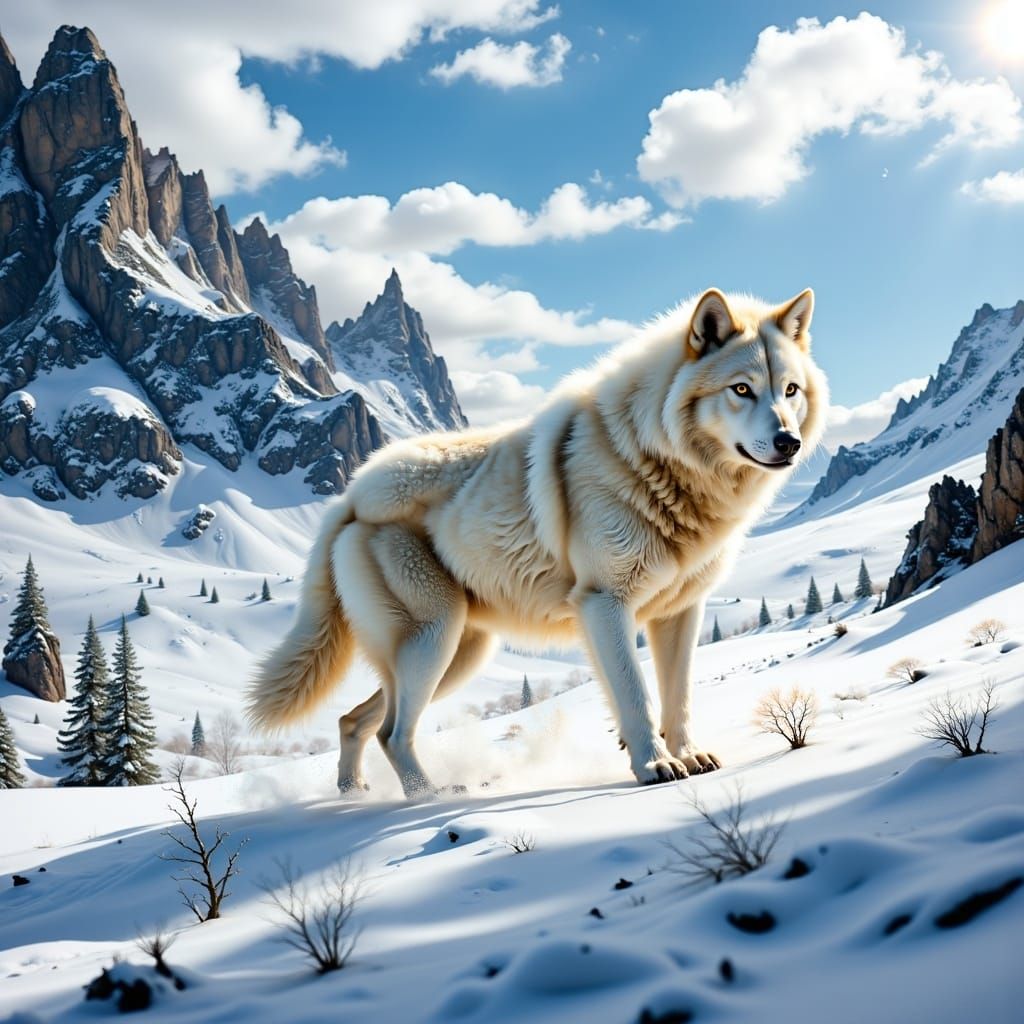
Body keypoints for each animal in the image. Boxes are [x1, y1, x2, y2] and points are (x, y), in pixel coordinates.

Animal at [247, 288, 828, 797]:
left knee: (355, 721)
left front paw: (687, 756)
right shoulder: (604, 604)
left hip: (457, 655)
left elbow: (677, 698)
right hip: (435, 642)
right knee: (391, 732)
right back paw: (429, 796)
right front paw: (654, 767)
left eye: (789, 391)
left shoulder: (680, 613)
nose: (788, 443)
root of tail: (350, 498)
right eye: (742, 389)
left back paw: (353, 794)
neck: (654, 458)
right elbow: (635, 695)